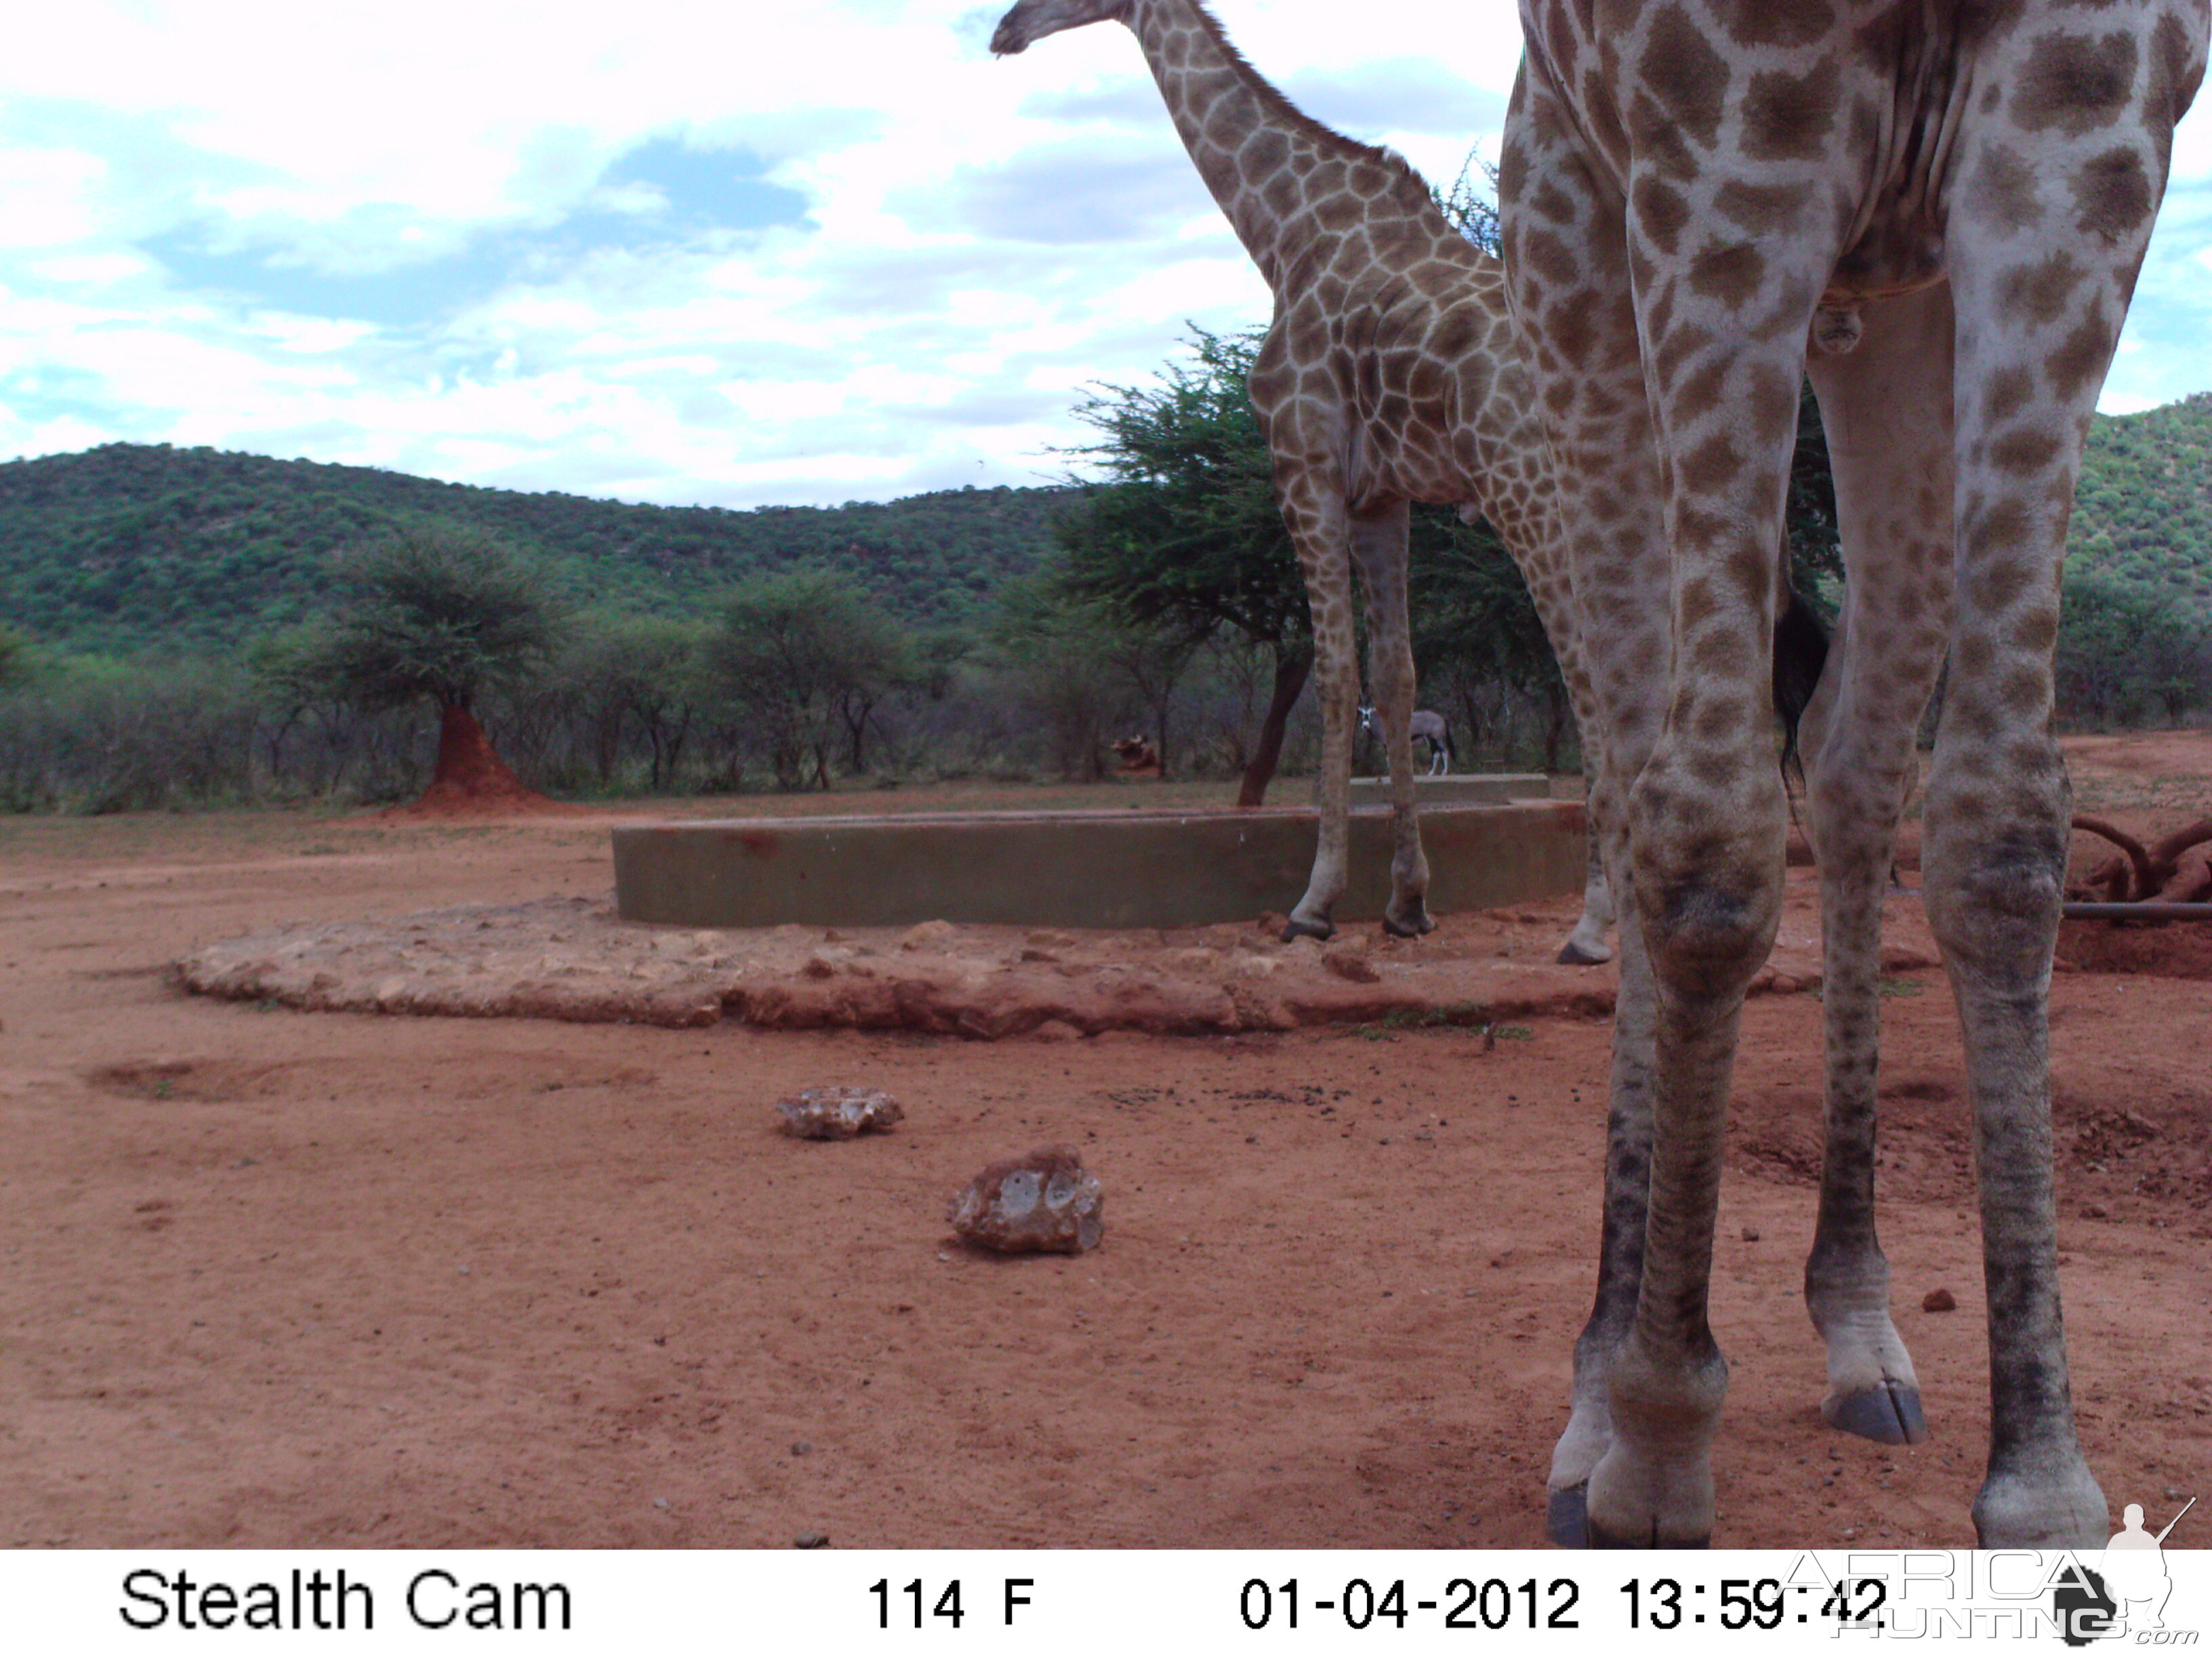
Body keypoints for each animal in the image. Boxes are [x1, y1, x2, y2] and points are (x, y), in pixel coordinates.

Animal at [995, 0, 1619, 956]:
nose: (1003, 33)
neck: (1286, 229)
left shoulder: (1303, 464)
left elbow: (1333, 674)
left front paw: (1316, 903)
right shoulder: (1383, 497)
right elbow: (1396, 676)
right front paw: (1406, 904)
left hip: (1529, 492)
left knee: (1591, 663)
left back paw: (1596, 924)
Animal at [1495, 0, 2203, 1557]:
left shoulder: (2085, 112)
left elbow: (2001, 836)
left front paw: (2043, 1488)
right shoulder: (1722, 128)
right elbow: (1706, 844)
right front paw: (1656, 1447)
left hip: (1892, 323)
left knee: (1852, 757)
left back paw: (1860, 1327)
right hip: (1571, 242)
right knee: (1639, 772)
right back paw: (1593, 1394)